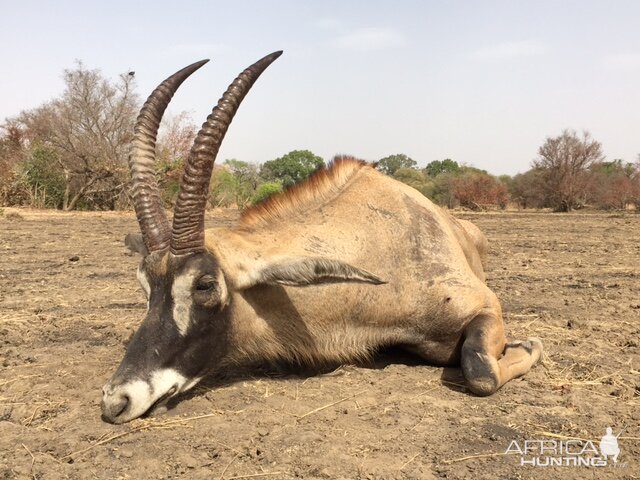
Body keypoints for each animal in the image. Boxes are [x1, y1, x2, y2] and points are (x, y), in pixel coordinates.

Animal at [100, 49, 540, 424]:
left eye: (205, 284)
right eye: (144, 284)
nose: (116, 400)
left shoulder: (485, 304)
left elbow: (481, 372)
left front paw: (528, 346)